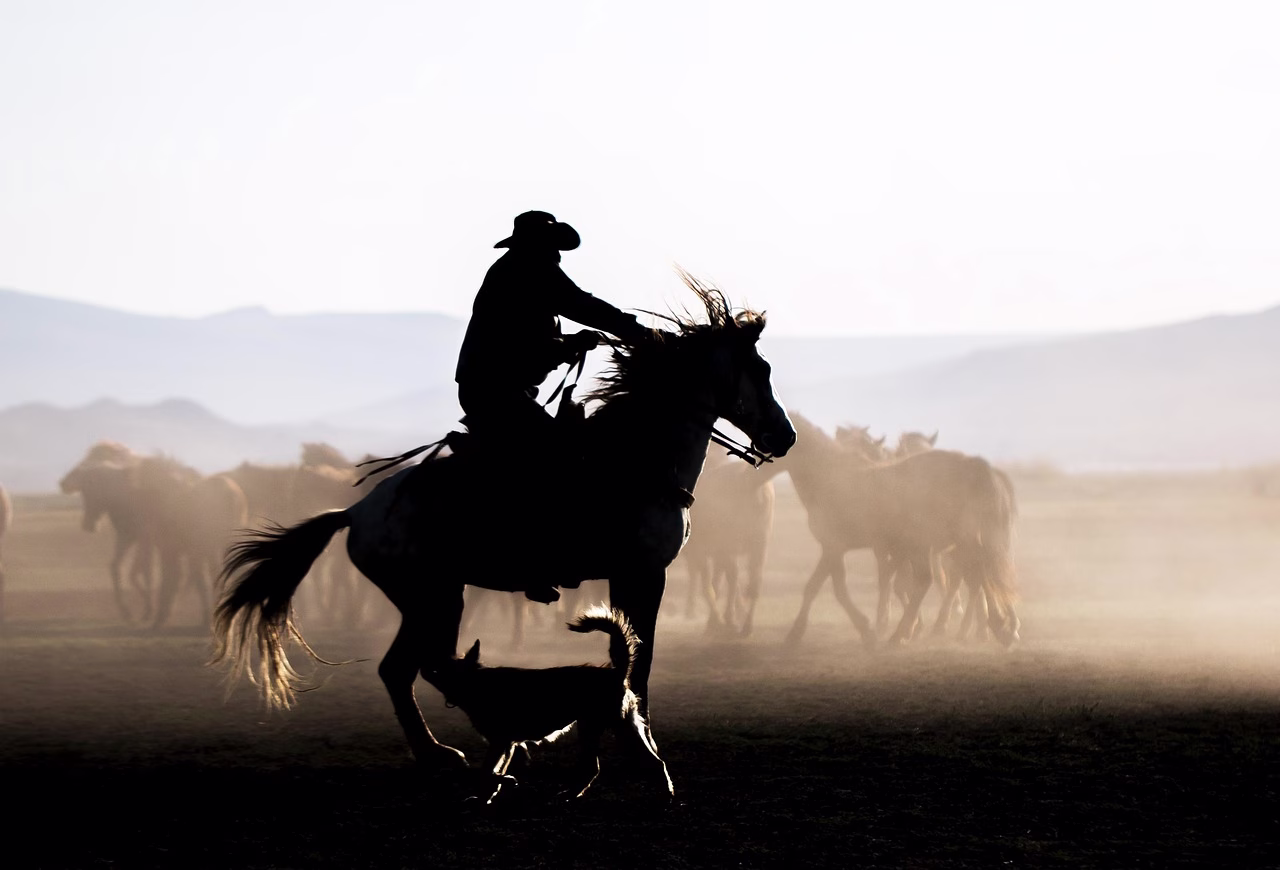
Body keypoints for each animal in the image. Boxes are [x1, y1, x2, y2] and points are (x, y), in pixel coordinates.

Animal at [212, 278, 797, 772]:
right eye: (762, 370)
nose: (785, 436)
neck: (637, 459)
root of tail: (358, 512)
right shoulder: (643, 574)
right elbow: (638, 660)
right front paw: (639, 741)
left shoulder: (631, 577)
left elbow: (629, 655)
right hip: (432, 597)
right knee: (407, 668)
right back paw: (440, 752)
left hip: (431, 598)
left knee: (413, 668)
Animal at [780, 414, 1019, 648]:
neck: (827, 478)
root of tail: (973, 466)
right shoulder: (851, 548)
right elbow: (825, 585)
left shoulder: (836, 546)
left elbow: (837, 588)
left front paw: (871, 629)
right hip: (959, 542)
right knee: (978, 574)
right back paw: (997, 627)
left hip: (942, 543)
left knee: (958, 576)